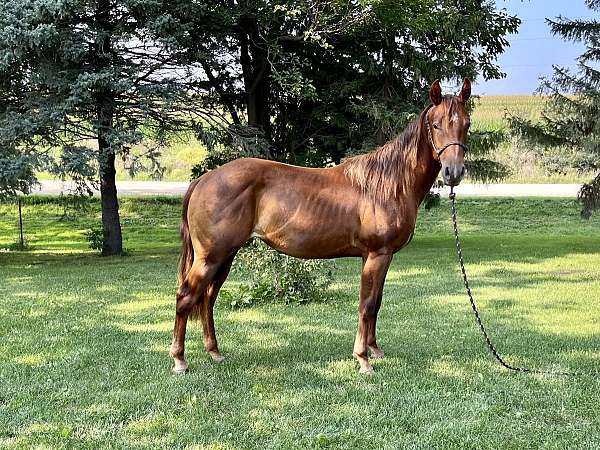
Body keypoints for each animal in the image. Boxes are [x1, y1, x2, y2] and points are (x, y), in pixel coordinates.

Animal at [171, 79, 472, 374]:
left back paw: (214, 353)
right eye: (436, 125)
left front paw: (375, 350)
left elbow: (377, 303)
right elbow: (366, 305)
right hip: (211, 257)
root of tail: (205, 179)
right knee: (186, 296)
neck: (389, 185)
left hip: (225, 256)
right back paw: (179, 360)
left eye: (467, 124)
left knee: (208, 298)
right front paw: (363, 360)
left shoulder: (383, 257)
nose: (453, 172)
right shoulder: (376, 255)